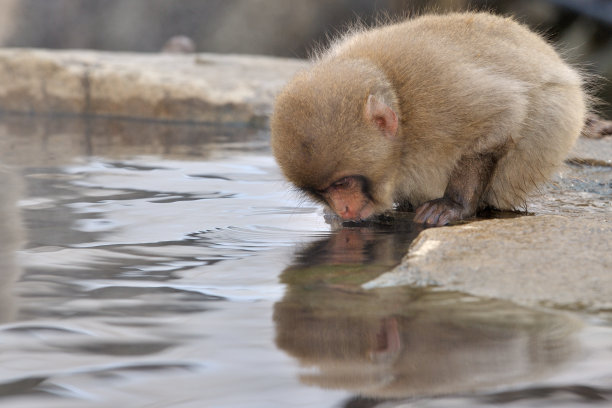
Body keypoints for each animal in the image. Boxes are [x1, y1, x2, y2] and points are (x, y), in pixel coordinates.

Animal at [272, 11, 588, 226]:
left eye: (342, 184)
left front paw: (454, 204)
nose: (343, 209)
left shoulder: (437, 97)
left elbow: (503, 116)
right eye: (321, 191)